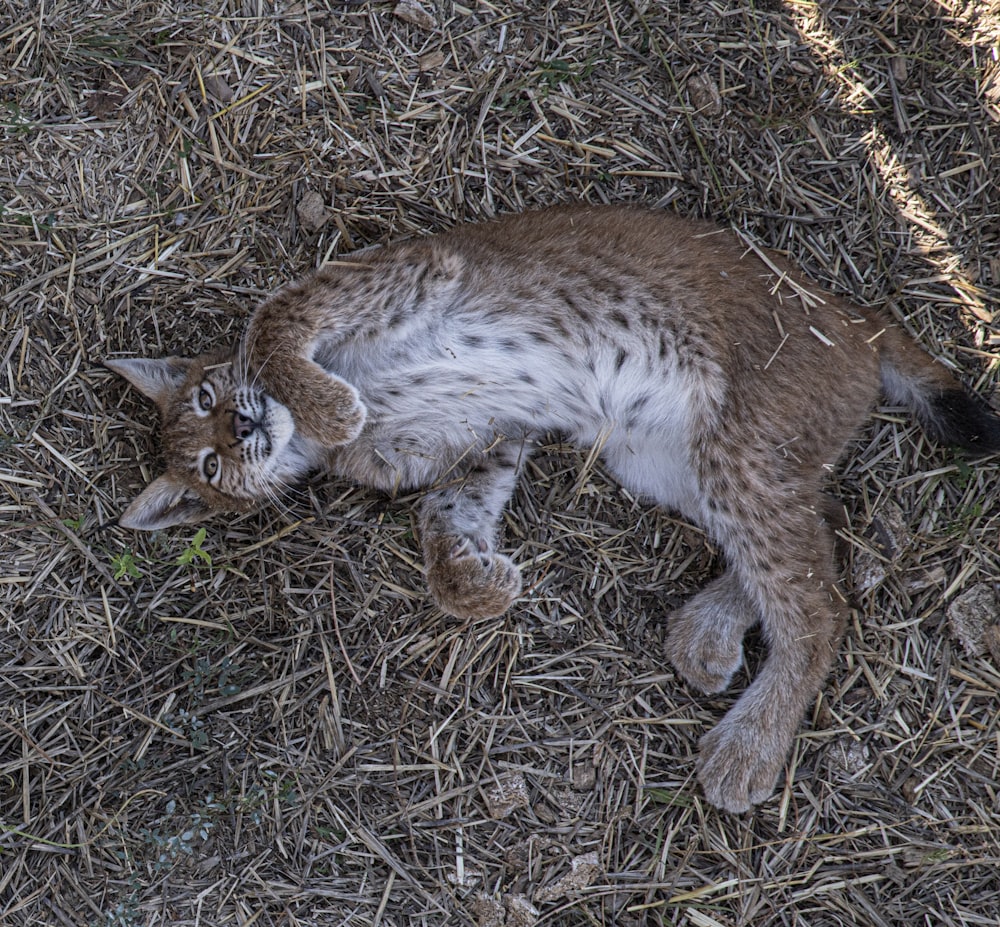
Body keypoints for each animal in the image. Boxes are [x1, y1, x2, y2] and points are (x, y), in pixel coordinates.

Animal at [103, 207, 1000, 816]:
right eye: (209, 461)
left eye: (209, 400)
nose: (244, 428)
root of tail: (855, 318)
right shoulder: (488, 433)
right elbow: (442, 528)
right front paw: (481, 585)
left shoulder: (404, 268)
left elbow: (273, 320)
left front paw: (324, 403)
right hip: (667, 455)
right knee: (817, 546)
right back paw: (710, 632)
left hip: (739, 439)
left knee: (821, 603)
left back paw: (748, 747)